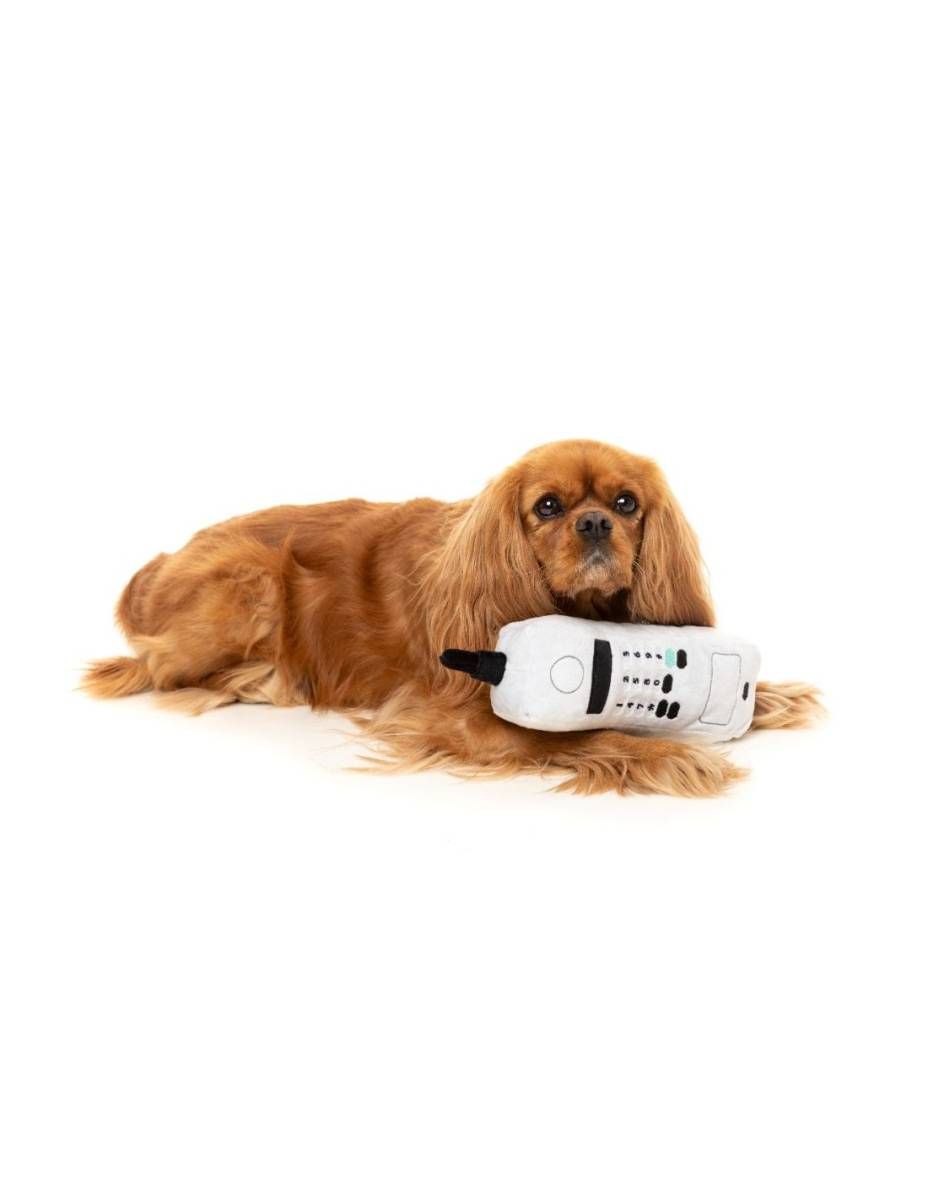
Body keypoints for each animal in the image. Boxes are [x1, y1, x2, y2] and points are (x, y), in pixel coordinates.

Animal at [82, 439, 821, 796]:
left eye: (626, 503)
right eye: (547, 507)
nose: (593, 523)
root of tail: (159, 559)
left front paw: (768, 697)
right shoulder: (451, 718)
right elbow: (578, 735)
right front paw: (667, 754)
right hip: (251, 574)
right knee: (152, 666)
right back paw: (259, 679)